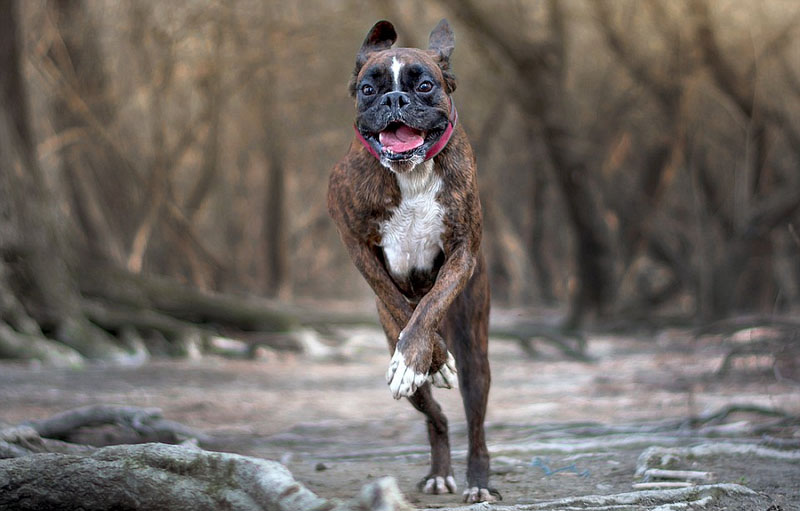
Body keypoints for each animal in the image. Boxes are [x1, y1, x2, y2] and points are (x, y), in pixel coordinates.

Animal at [328, 20, 496, 504]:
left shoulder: (463, 252)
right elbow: (404, 306)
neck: (412, 173)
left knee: (476, 425)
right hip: (400, 360)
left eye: (424, 86)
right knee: (435, 416)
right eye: (369, 89)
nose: (395, 100)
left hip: (476, 351)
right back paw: (439, 470)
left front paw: (422, 353)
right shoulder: (356, 246)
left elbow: (431, 304)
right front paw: (429, 361)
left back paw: (478, 481)